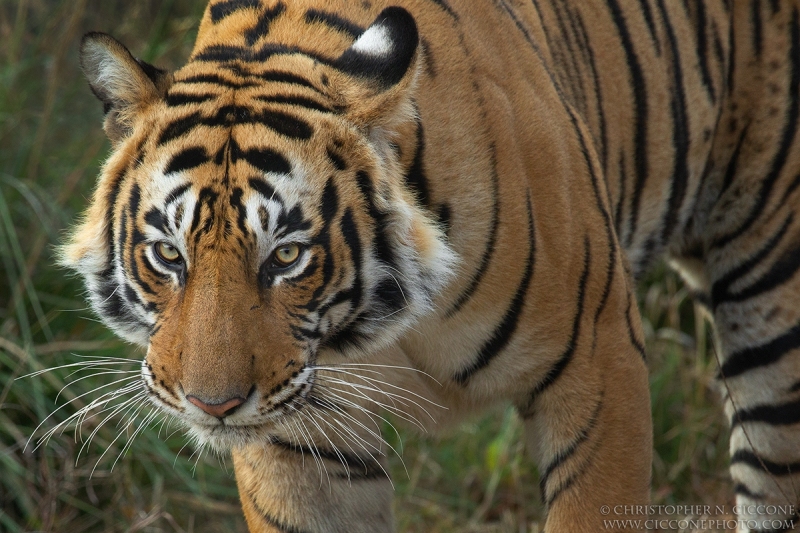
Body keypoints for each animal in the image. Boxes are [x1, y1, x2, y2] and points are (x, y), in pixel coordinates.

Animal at [59, 0, 800, 528]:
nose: (211, 406)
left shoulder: (599, 362)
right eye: (167, 254)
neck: (373, 325)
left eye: (287, 256)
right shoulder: (299, 441)